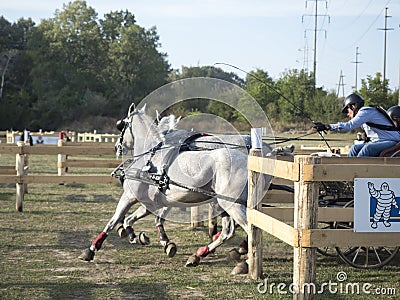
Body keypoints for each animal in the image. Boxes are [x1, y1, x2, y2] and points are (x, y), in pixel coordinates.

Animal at [79, 103, 272, 272]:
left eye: (121, 125)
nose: (116, 147)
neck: (151, 158)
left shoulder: (129, 196)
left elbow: (113, 221)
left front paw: (91, 249)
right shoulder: (155, 201)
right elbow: (132, 219)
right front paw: (139, 237)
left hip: (231, 204)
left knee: (248, 230)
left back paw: (245, 261)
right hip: (225, 203)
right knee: (229, 231)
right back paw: (200, 255)